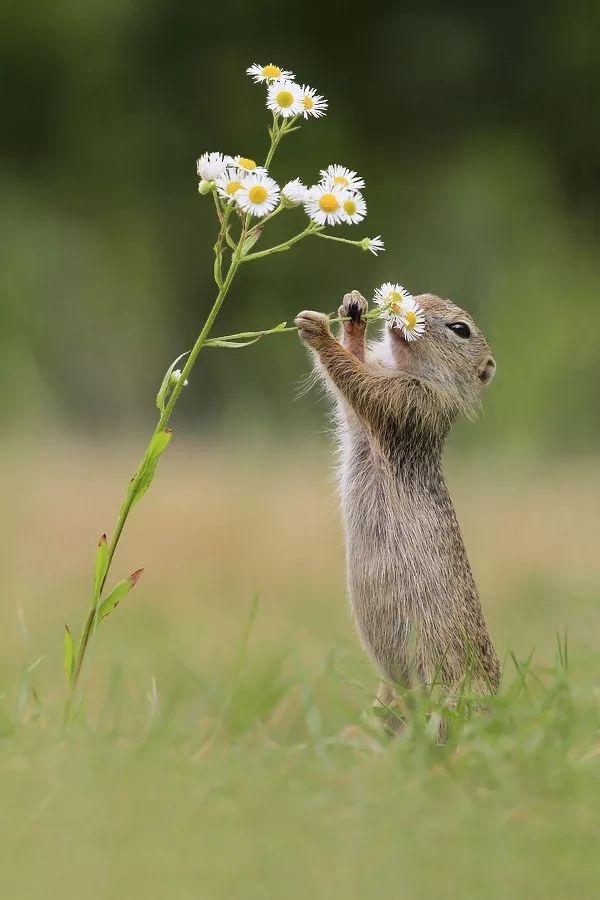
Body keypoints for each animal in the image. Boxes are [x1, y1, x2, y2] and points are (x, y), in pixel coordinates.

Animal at [296, 292, 502, 720]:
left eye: (460, 329)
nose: (414, 301)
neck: (412, 370)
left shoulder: (411, 403)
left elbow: (359, 383)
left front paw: (318, 330)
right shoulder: (371, 415)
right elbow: (351, 396)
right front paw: (353, 315)